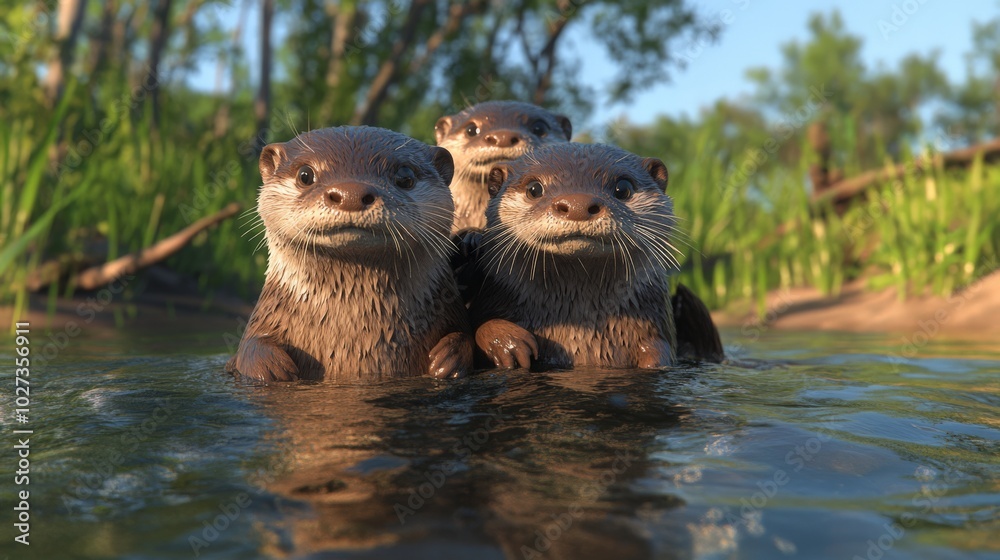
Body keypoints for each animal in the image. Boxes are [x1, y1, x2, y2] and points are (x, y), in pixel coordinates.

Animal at [226, 127, 473, 382]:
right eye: (305, 175)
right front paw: (272, 367)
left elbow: (464, 337)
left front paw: (448, 357)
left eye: (405, 176)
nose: (351, 194)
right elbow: (250, 348)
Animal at [468, 142, 723, 369]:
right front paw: (507, 342)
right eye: (534, 188)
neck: (579, 325)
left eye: (623, 188)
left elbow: (657, 350)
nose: (577, 204)